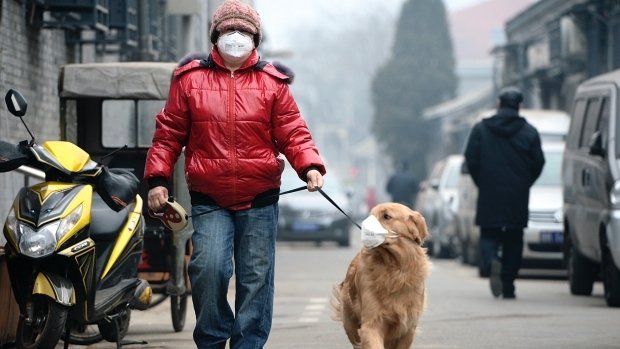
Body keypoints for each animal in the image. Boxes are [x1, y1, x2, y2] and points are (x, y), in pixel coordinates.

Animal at [332, 201, 428, 348]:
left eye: (386, 216)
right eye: (370, 215)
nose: (364, 228)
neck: (394, 270)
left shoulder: (408, 329)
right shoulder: (371, 324)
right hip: (350, 323)